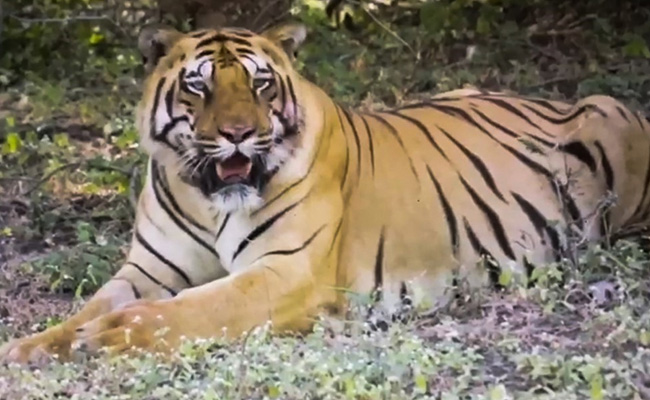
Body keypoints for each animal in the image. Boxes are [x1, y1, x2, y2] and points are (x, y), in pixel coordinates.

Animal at [2, 21, 650, 364]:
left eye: (261, 85)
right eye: (199, 87)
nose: (238, 133)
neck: (206, 199)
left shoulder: (288, 271)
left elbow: (187, 309)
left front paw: (110, 337)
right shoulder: (148, 271)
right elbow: (89, 307)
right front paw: (31, 346)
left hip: (609, 120)